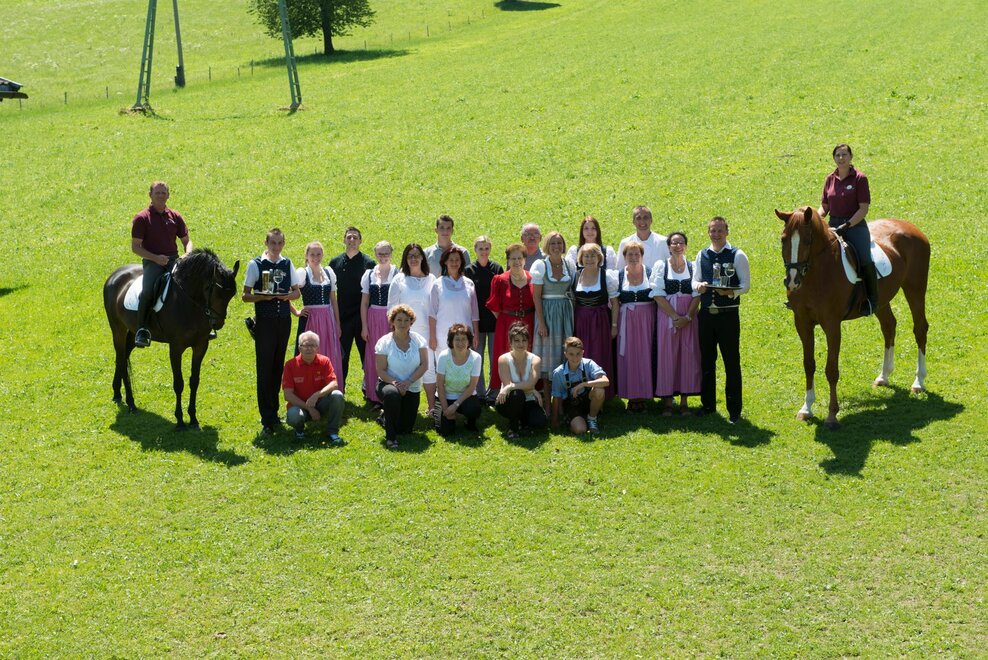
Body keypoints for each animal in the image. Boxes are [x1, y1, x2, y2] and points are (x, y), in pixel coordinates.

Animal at [103, 248, 240, 429]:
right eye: (215, 291)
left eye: (231, 294)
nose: (217, 323)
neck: (190, 303)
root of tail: (114, 275)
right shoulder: (176, 347)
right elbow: (178, 383)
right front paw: (180, 420)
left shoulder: (201, 345)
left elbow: (194, 381)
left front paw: (193, 419)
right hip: (117, 329)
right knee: (121, 360)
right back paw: (131, 404)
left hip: (132, 333)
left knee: (123, 358)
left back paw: (117, 393)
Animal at [776, 207, 930, 430]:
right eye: (783, 239)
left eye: (807, 240)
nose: (792, 281)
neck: (817, 274)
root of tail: (911, 226)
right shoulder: (802, 323)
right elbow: (808, 364)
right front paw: (806, 409)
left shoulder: (832, 325)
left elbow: (831, 369)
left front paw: (832, 416)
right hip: (881, 300)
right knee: (889, 326)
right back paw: (884, 376)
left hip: (915, 289)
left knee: (920, 329)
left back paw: (918, 382)